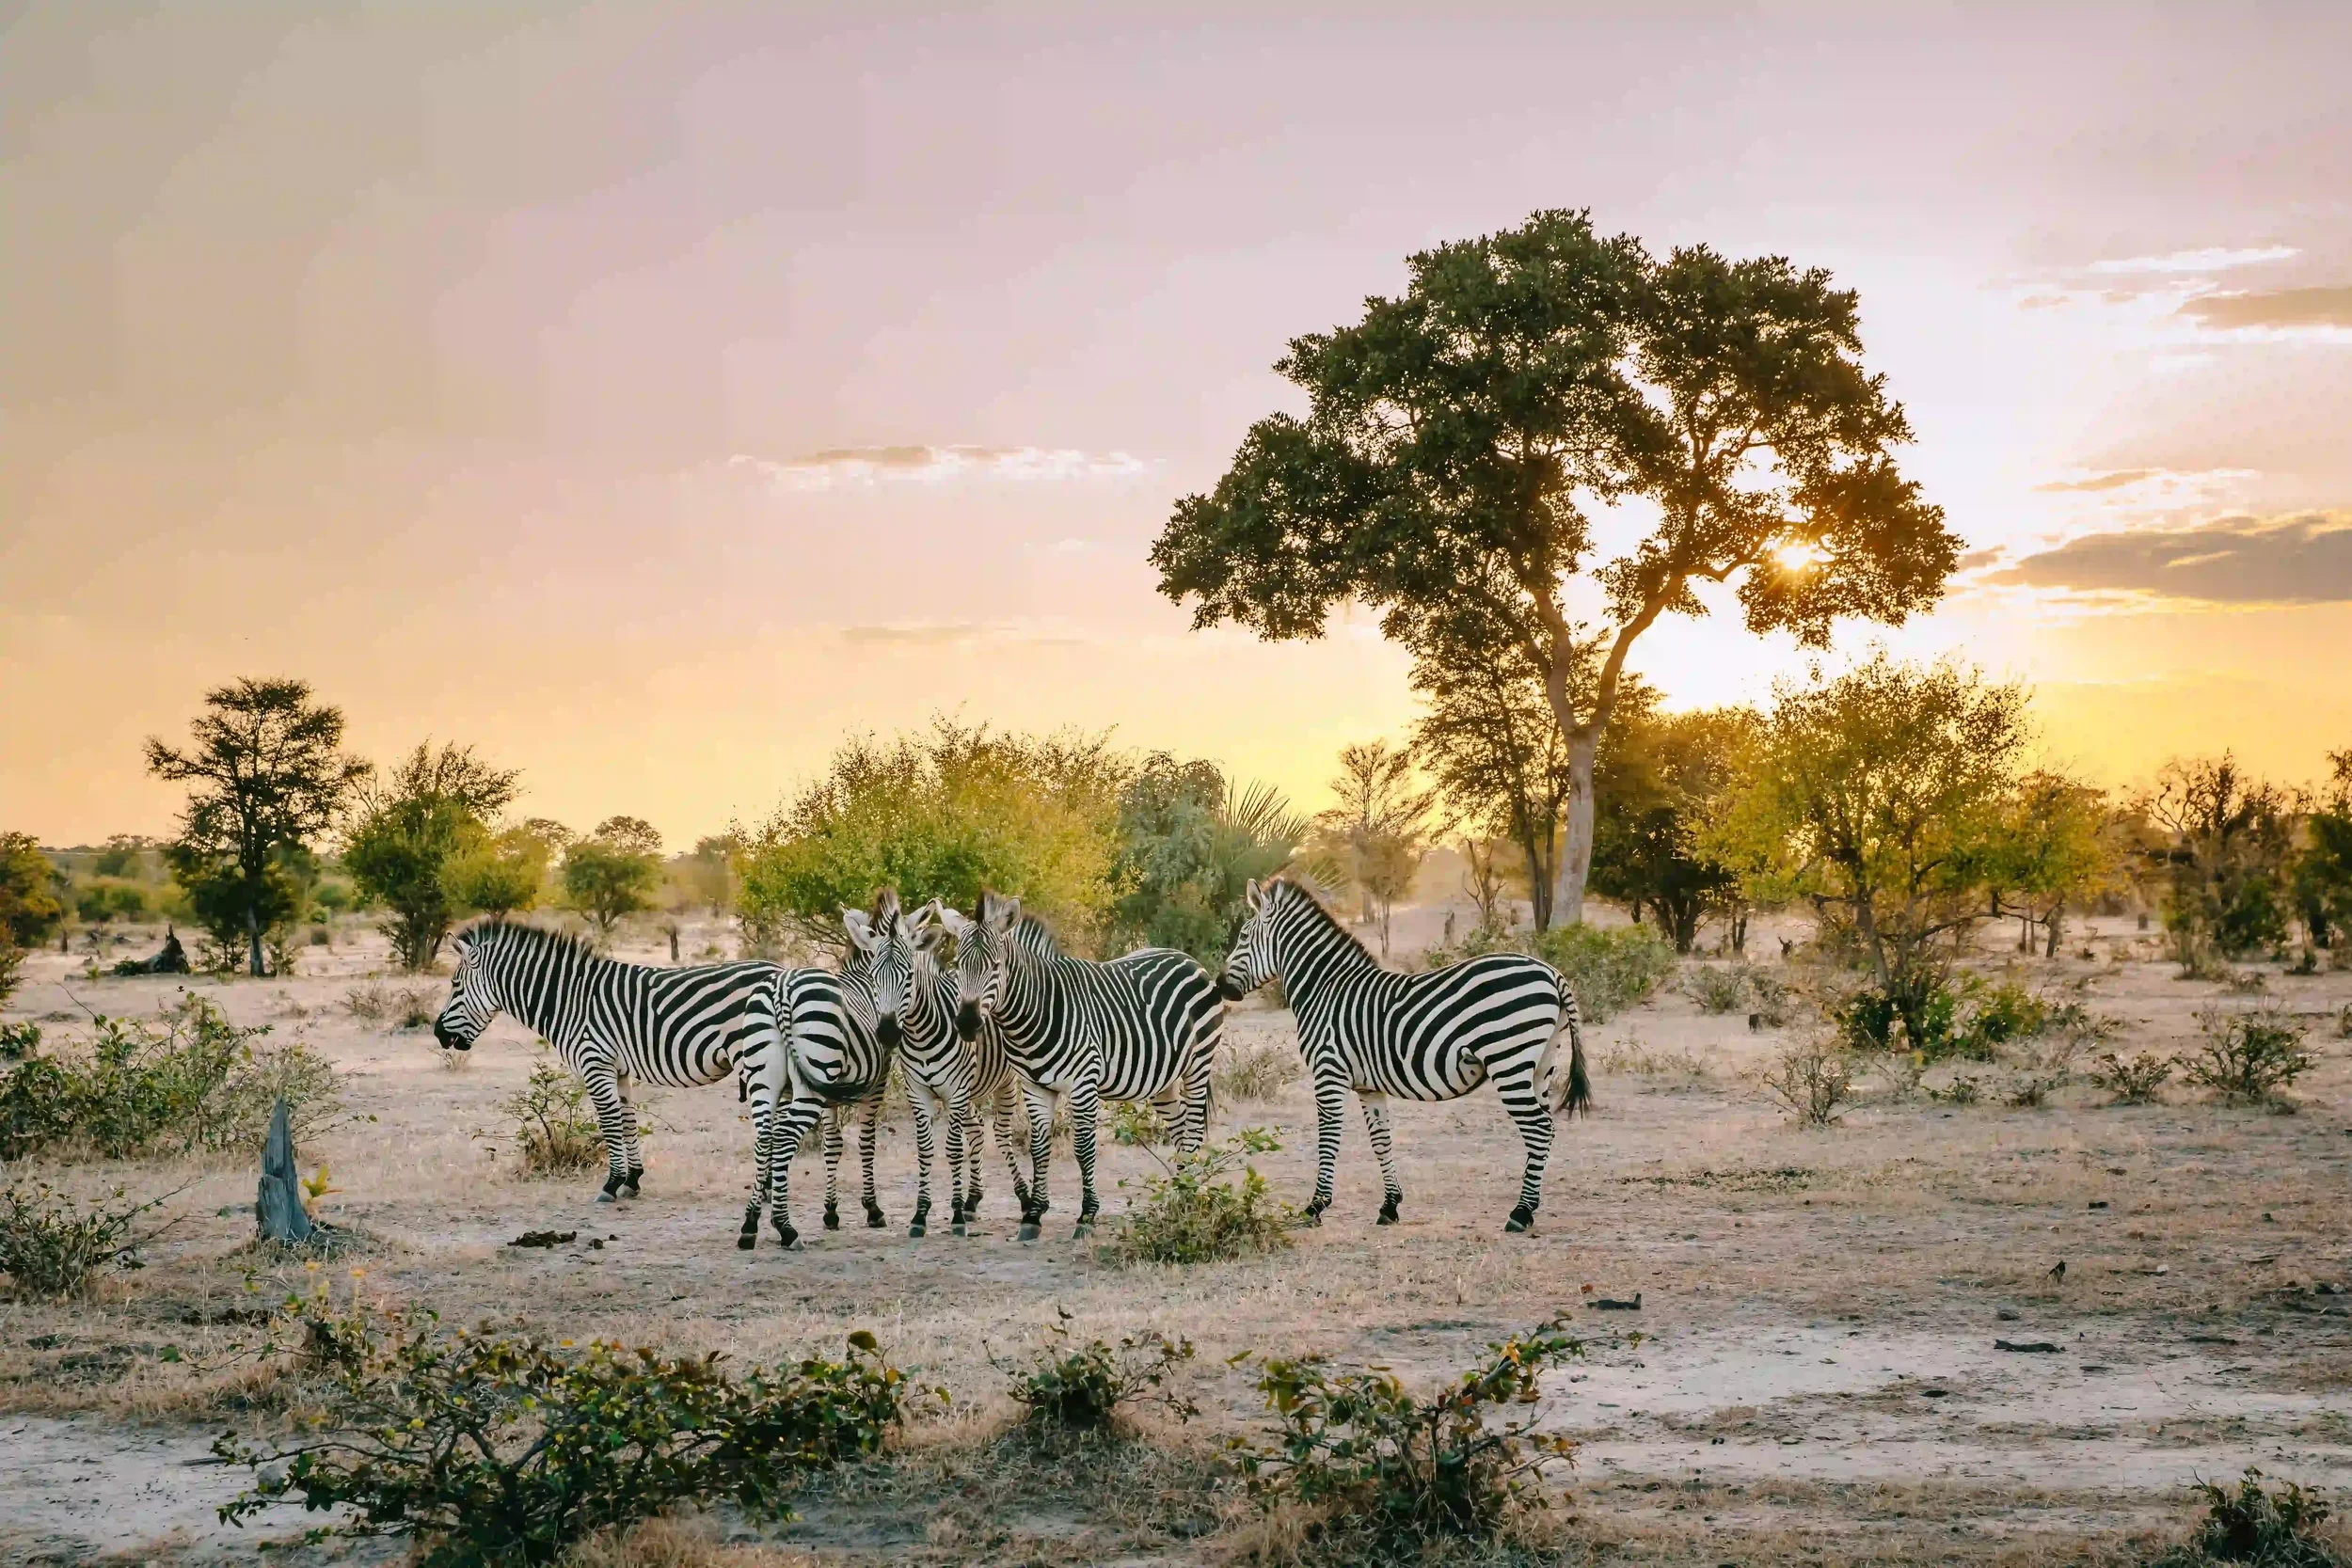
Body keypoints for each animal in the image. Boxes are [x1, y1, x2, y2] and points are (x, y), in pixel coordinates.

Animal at [431, 920, 781, 1204]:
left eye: (455, 986)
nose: (437, 1033)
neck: (569, 1000)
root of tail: (782, 971)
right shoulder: (619, 1069)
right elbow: (627, 1122)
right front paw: (632, 1181)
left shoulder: (595, 1062)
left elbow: (609, 1123)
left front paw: (611, 1184)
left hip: (756, 1059)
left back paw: (765, 1192)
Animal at [938, 890, 1221, 1241]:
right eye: (957, 965)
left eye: (995, 966)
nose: (965, 1023)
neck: (1037, 1010)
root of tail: (1187, 958)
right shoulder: (1035, 1087)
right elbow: (1038, 1147)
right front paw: (1033, 1215)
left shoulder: (1084, 1083)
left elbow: (1084, 1148)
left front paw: (1086, 1216)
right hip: (1163, 1079)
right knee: (1180, 1128)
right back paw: (1180, 1194)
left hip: (1198, 1065)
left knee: (1193, 1129)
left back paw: (1191, 1196)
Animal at [1217, 876, 1589, 1233]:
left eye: (1244, 936)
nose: (1220, 987)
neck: (1325, 988)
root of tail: (1550, 971)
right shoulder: (1368, 1086)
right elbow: (1381, 1141)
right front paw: (1389, 1206)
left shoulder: (1329, 1071)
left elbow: (1328, 1138)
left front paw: (1316, 1207)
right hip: (1539, 1066)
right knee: (1546, 1129)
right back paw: (1530, 1208)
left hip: (1509, 1060)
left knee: (1538, 1128)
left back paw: (1520, 1214)